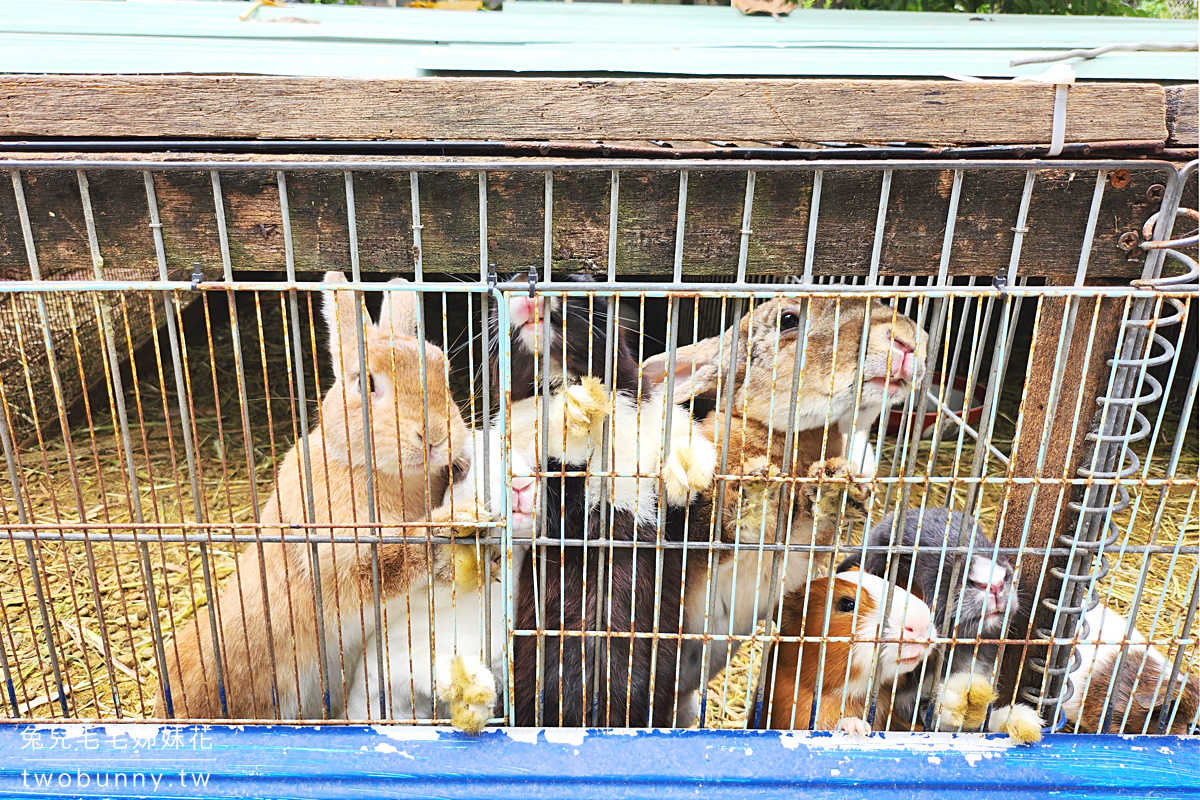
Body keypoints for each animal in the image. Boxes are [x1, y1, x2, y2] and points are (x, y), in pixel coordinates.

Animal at [152, 272, 480, 724]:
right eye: (366, 383)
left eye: (442, 369)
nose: (434, 436)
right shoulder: (338, 562)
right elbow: (395, 559)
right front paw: (460, 519)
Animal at [494, 277, 715, 734]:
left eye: (577, 282)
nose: (527, 291)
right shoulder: (560, 510)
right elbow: (564, 474)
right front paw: (574, 410)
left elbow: (681, 472)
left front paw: (688, 469)